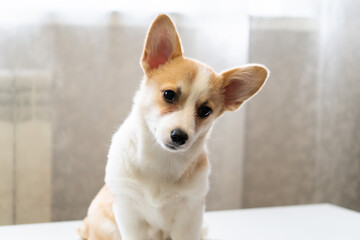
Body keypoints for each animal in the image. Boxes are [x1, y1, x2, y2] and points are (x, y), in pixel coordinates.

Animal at [79, 14, 268, 239]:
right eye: (169, 95)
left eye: (205, 111)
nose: (179, 136)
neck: (161, 159)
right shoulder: (129, 212)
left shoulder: (190, 215)